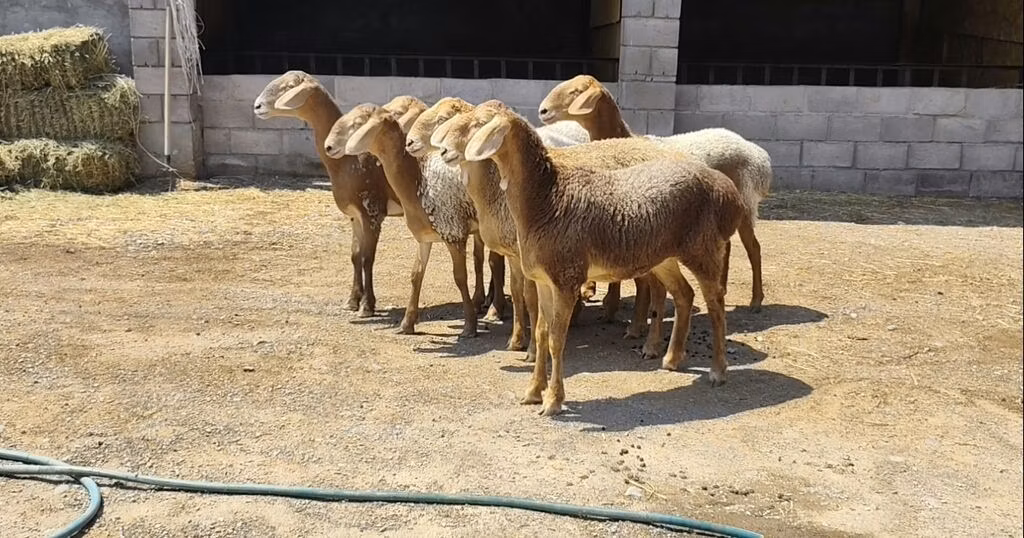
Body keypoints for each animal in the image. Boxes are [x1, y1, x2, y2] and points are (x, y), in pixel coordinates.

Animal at [323, 103, 485, 338]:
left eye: (358, 123)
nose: (328, 146)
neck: (419, 179)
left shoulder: (454, 231)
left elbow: (460, 277)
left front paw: (470, 326)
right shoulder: (424, 237)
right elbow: (416, 275)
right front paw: (407, 324)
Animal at [403, 97, 595, 363]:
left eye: (444, 119)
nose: (409, 142)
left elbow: (524, 292)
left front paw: (528, 345)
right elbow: (508, 283)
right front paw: (513, 334)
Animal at [431, 102, 746, 416]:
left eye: (480, 123)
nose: (444, 151)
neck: (547, 200)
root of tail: (725, 188)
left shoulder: (567, 279)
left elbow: (557, 340)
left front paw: (553, 401)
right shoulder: (544, 280)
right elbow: (541, 333)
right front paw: (533, 392)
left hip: (703, 248)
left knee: (716, 303)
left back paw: (718, 371)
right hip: (665, 255)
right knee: (684, 294)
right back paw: (671, 359)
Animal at [538, 74, 772, 311]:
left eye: (576, 92)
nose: (543, 111)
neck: (625, 137)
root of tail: (759, 153)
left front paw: (614, 303)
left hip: (746, 203)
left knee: (753, 248)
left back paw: (756, 299)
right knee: (728, 246)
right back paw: (722, 288)